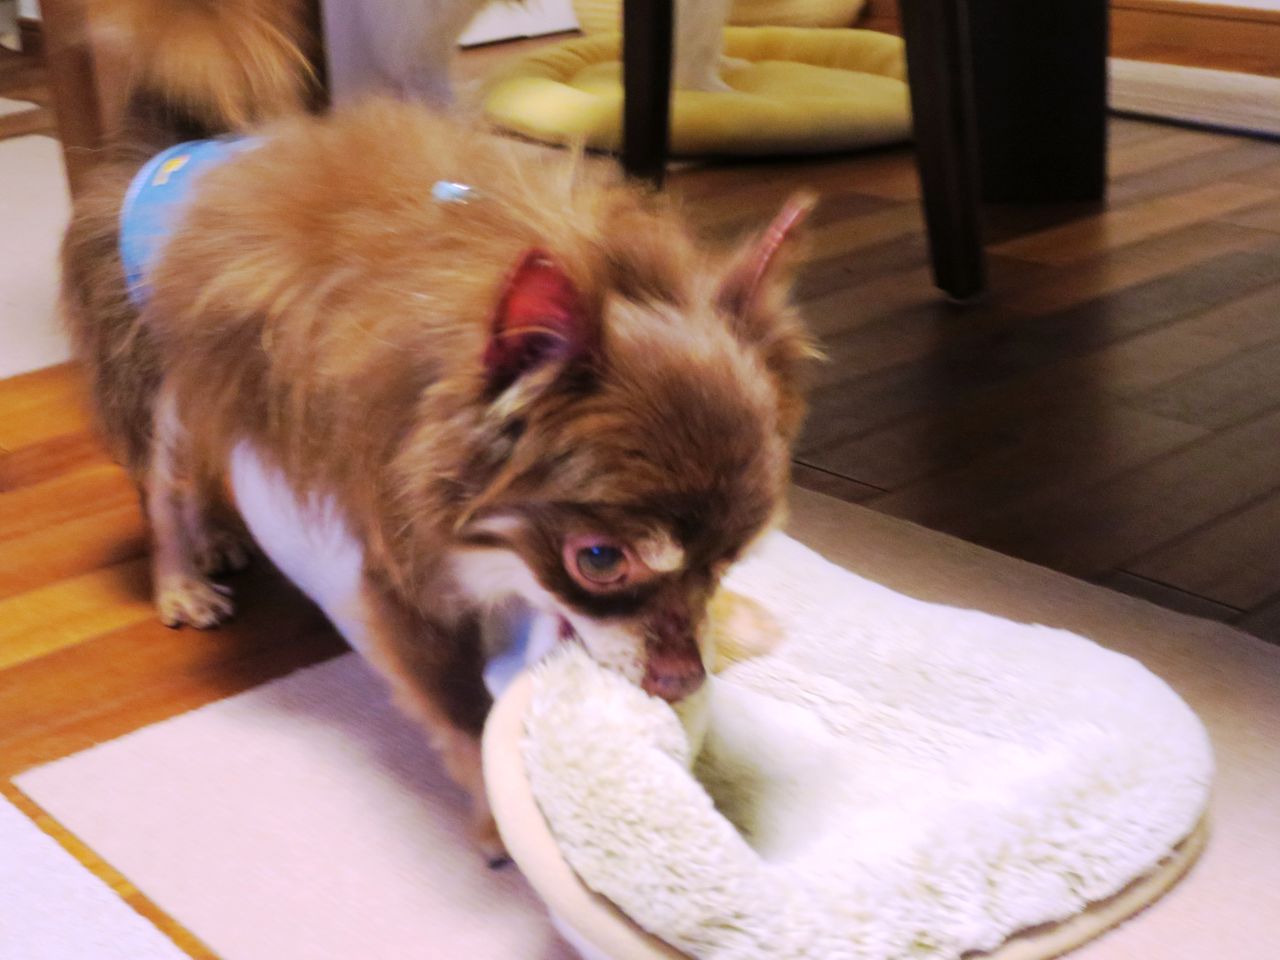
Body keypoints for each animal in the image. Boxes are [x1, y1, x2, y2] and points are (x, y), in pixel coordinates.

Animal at [64, 0, 813, 857]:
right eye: (599, 560)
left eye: (730, 561)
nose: (681, 680)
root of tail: (167, 142)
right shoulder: (393, 574)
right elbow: (464, 713)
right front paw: (498, 823)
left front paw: (737, 625)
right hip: (161, 383)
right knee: (162, 487)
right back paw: (181, 578)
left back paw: (219, 538)